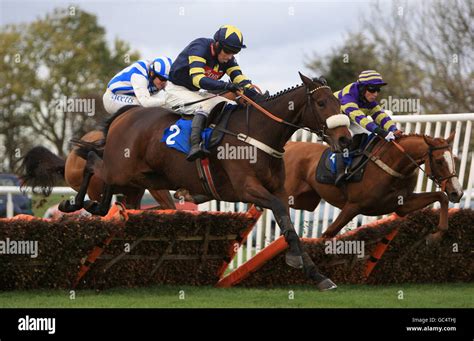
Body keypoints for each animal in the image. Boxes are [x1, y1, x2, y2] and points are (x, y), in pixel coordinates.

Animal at [62, 72, 352, 290]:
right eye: (322, 103)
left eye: (338, 103)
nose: (345, 139)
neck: (257, 133)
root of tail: (125, 114)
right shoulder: (246, 189)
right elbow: (282, 215)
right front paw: (296, 260)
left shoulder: (278, 190)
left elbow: (289, 224)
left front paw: (318, 275)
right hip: (122, 169)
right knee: (93, 161)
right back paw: (74, 203)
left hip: (141, 178)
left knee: (120, 194)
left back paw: (96, 207)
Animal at [284, 133, 464, 242]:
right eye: (439, 161)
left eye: (454, 159)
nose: (457, 192)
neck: (392, 166)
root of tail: (289, 145)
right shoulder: (353, 206)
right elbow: (328, 233)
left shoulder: (402, 205)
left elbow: (442, 197)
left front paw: (436, 235)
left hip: (304, 200)